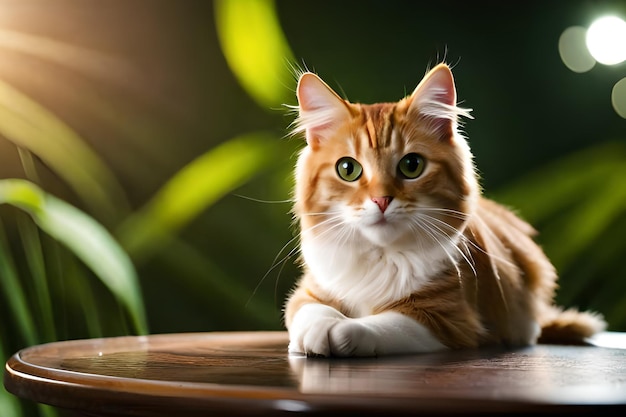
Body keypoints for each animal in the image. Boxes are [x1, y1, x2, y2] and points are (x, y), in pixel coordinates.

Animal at [282, 63, 604, 356]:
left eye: (411, 165)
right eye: (347, 169)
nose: (382, 200)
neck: (381, 257)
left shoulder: (447, 318)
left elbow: (379, 324)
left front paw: (342, 330)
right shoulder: (307, 292)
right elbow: (310, 311)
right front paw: (317, 330)